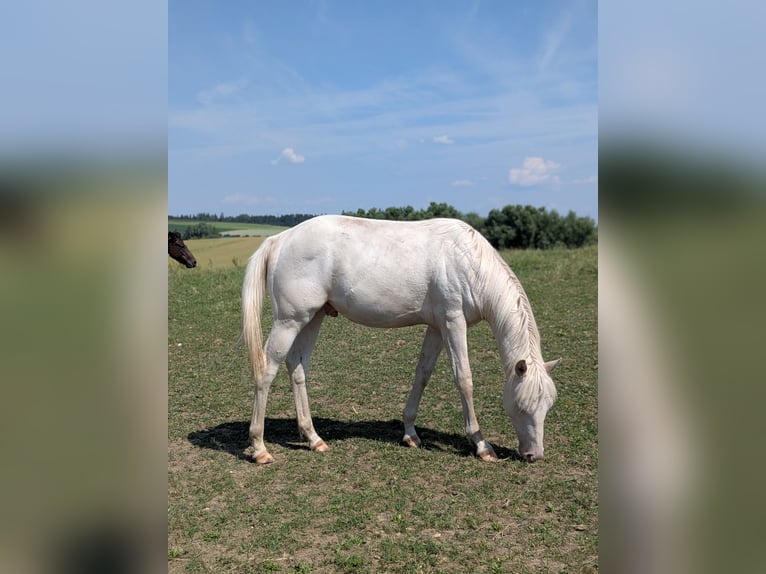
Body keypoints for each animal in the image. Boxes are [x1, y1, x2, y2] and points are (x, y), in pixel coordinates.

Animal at [242, 215, 560, 464]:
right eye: (522, 406)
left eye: (547, 406)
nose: (534, 455)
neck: (468, 261)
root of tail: (281, 239)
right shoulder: (453, 322)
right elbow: (464, 379)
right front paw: (482, 445)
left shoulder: (437, 328)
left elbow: (423, 374)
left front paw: (410, 434)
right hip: (289, 322)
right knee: (266, 371)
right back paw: (259, 448)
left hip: (312, 318)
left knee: (297, 369)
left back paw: (313, 438)